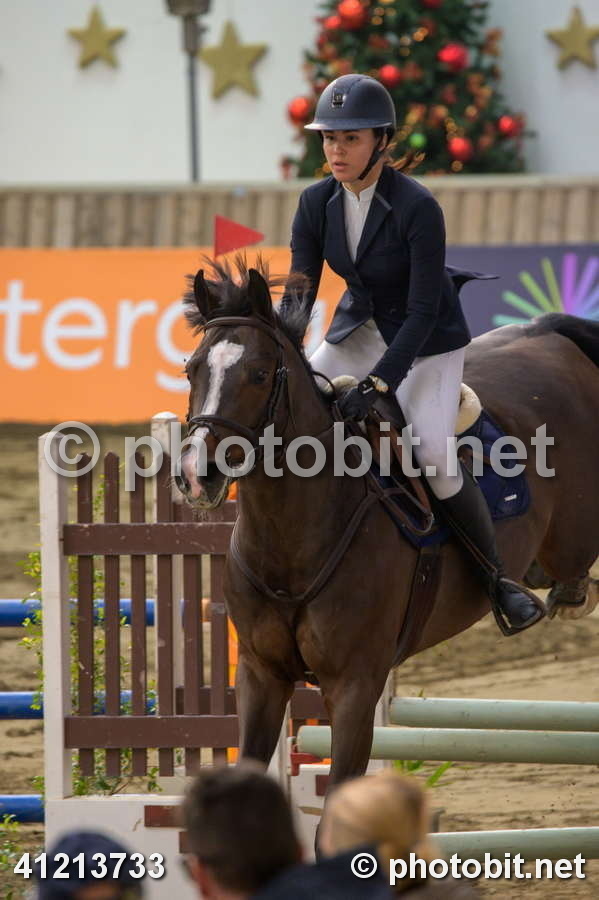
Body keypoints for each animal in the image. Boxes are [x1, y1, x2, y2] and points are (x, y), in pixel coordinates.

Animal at [176, 256, 599, 789]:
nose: (197, 474)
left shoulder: (355, 686)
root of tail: (547, 331)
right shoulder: (260, 676)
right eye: (191, 369)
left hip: (574, 538)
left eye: (257, 373)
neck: (292, 538)